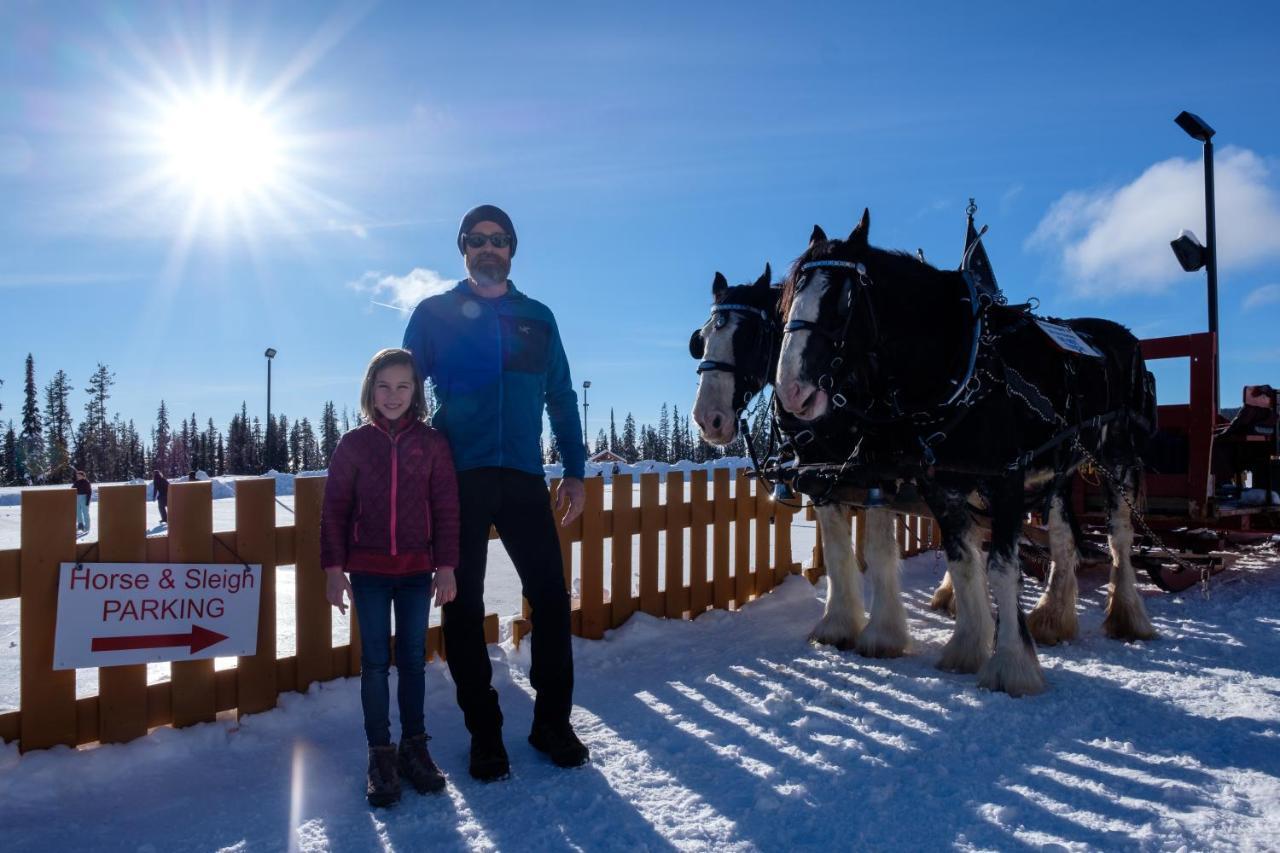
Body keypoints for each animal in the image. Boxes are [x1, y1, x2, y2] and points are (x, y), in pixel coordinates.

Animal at [773, 208, 1157, 696]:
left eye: (843, 300)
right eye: (788, 301)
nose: (791, 392)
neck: (961, 365)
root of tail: (1124, 338)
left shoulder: (1007, 478)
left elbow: (1000, 568)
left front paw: (1010, 665)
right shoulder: (938, 486)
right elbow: (963, 561)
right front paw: (968, 647)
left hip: (1119, 461)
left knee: (1119, 538)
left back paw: (1128, 616)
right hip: (1057, 467)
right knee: (1064, 540)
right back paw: (1053, 618)